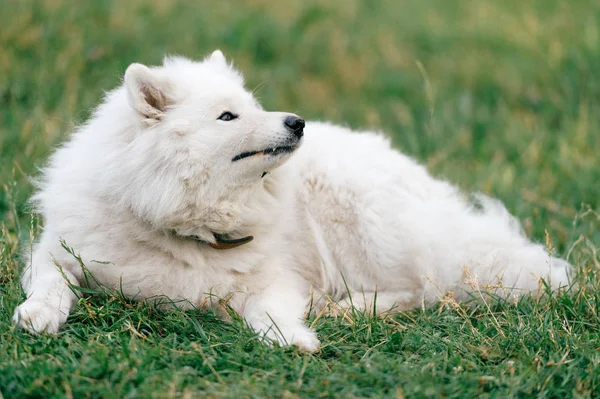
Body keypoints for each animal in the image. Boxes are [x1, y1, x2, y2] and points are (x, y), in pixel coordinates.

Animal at [11, 50, 568, 354]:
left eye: (253, 106)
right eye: (228, 117)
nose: (298, 121)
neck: (182, 222)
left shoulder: (272, 280)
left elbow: (272, 312)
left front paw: (293, 338)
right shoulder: (59, 249)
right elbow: (51, 281)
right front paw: (38, 315)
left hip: (360, 215)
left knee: (419, 289)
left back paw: (345, 308)